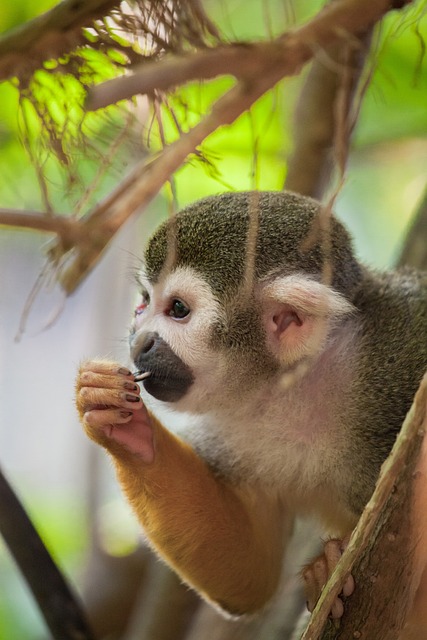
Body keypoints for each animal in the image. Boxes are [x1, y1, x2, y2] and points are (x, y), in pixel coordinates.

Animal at [75, 189, 427, 620]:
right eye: (143, 301)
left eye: (178, 310)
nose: (138, 340)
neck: (298, 383)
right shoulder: (235, 430)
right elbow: (249, 575)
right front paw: (124, 429)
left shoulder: (399, 350)